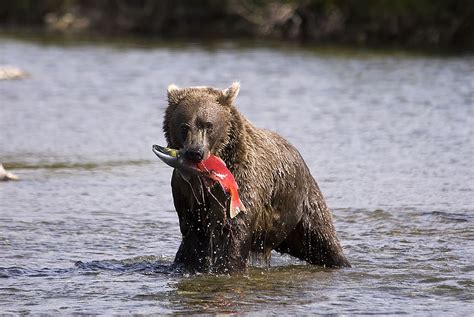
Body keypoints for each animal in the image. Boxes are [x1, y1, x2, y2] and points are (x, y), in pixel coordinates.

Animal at [161, 81, 350, 272]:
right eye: (184, 127)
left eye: (208, 125)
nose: (195, 152)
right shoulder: (186, 193)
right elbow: (192, 233)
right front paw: (191, 264)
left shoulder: (243, 180)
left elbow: (235, 228)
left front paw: (228, 266)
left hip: (303, 204)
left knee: (323, 238)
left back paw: (342, 262)